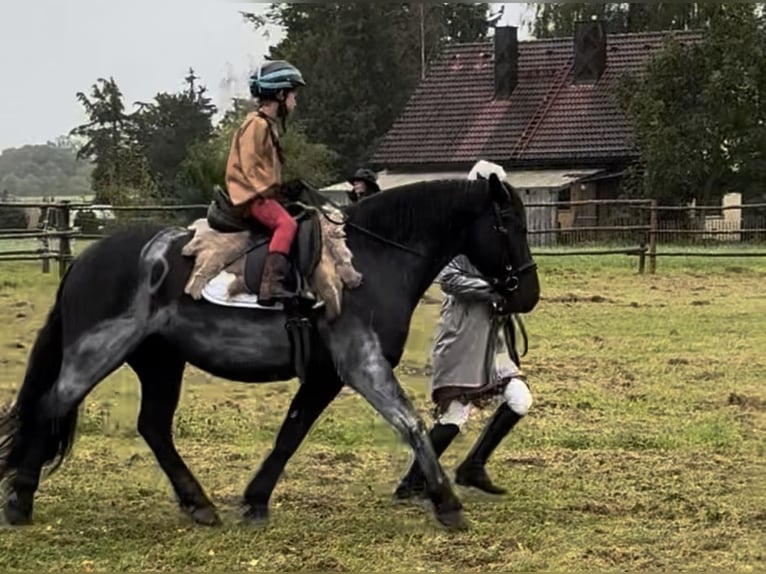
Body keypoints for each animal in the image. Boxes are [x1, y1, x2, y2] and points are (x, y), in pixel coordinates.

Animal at [0, 173, 539, 531]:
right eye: (508, 222)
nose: (528, 294)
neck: (369, 262)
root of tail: (85, 259)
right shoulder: (361, 364)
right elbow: (410, 423)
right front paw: (446, 502)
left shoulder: (324, 374)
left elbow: (290, 434)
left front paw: (256, 500)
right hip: (97, 353)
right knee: (51, 406)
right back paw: (20, 501)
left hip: (160, 362)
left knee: (152, 427)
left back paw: (199, 504)